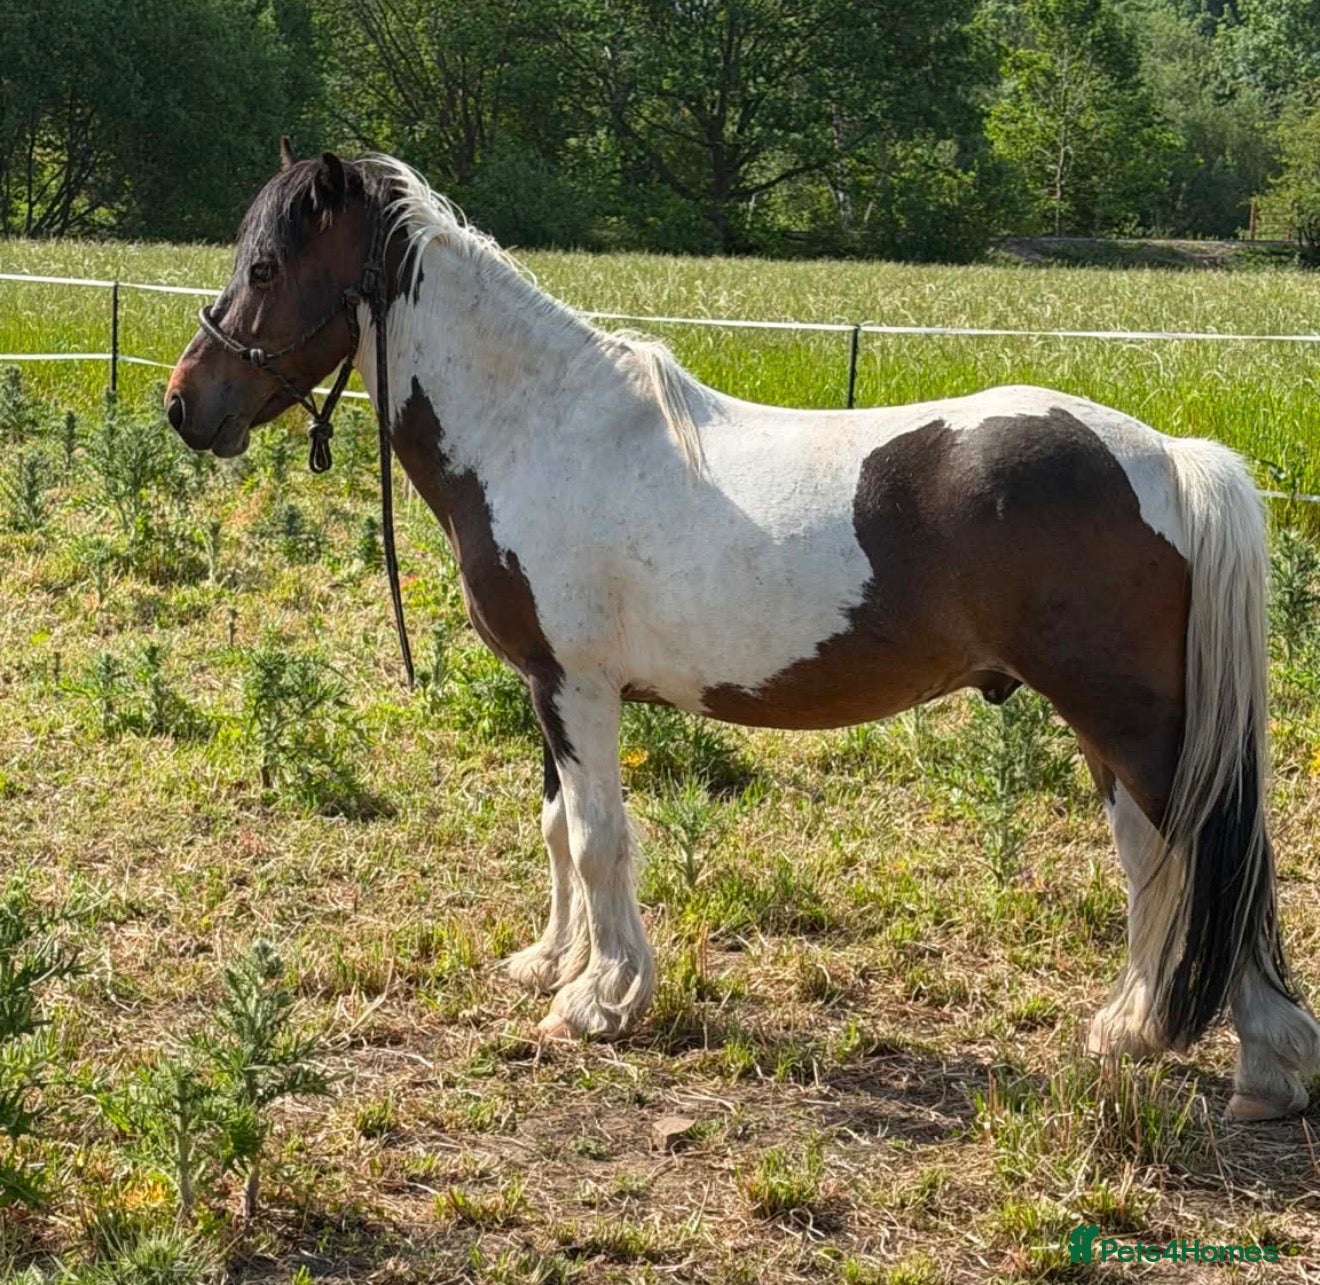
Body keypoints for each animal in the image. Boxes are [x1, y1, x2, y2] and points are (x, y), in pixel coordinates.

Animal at [164, 145, 1320, 1121]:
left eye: (266, 265)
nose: (184, 404)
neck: (542, 428)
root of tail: (1167, 456)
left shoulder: (576, 688)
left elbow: (599, 837)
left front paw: (601, 999)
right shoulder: (547, 687)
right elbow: (558, 830)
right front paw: (550, 963)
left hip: (1133, 722)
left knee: (1222, 860)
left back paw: (1268, 1069)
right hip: (1110, 728)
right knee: (1153, 859)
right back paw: (1131, 1028)